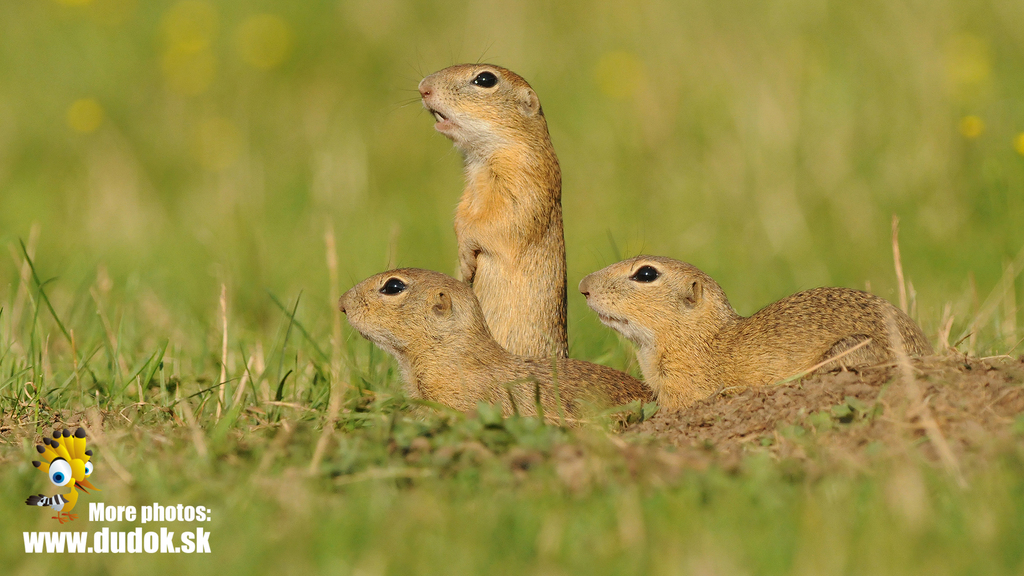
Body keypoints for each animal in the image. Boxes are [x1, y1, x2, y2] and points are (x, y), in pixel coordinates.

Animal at [419, 64, 568, 358]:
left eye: (485, 79)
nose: (423, 88)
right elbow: (461, 217)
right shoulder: (468, 193)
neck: (482, 159)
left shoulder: (523, 187)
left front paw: (466, 261)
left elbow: (492, 223)